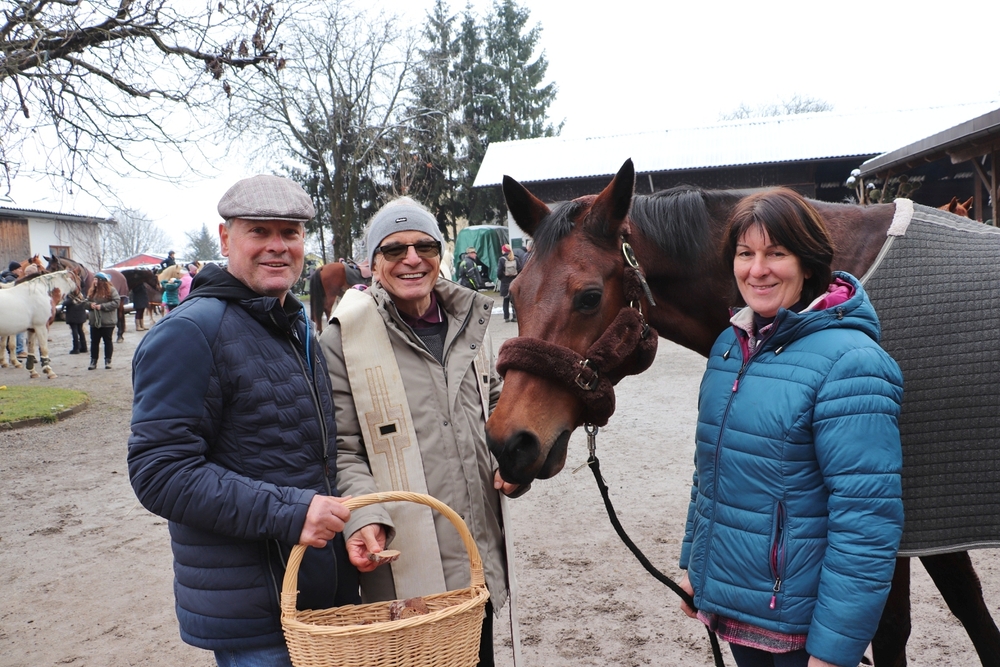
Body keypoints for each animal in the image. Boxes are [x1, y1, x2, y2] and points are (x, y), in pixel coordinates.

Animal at [487, 159, 1000, 667]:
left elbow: (898, 629)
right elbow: (971, 609)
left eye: (590, 296)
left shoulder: (897, 528)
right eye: (517, 289)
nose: (508, 442)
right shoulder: (933, 522)